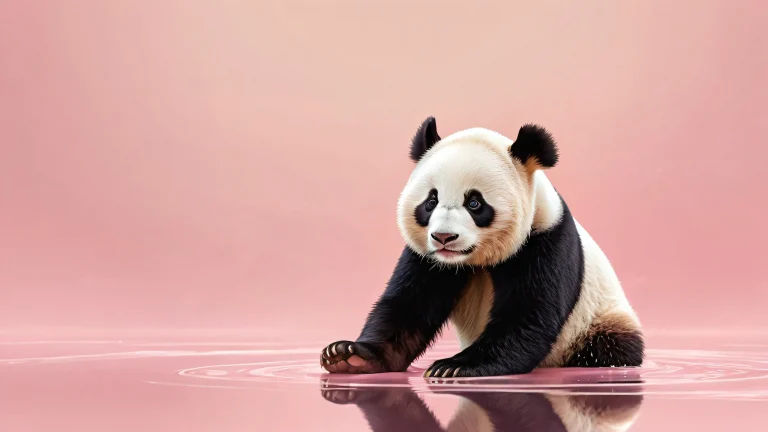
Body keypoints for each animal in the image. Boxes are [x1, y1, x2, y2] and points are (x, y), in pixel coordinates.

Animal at [320, 117, 644, 377]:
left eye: (474, 203)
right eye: (431, 201)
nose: (444, 237)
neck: (476, 261)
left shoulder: (545, 240)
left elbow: (527, 313)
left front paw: (455, 365)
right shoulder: (425, 258)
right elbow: (408, 306)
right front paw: (349, 356)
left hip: (600, 321)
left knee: (611, 346)